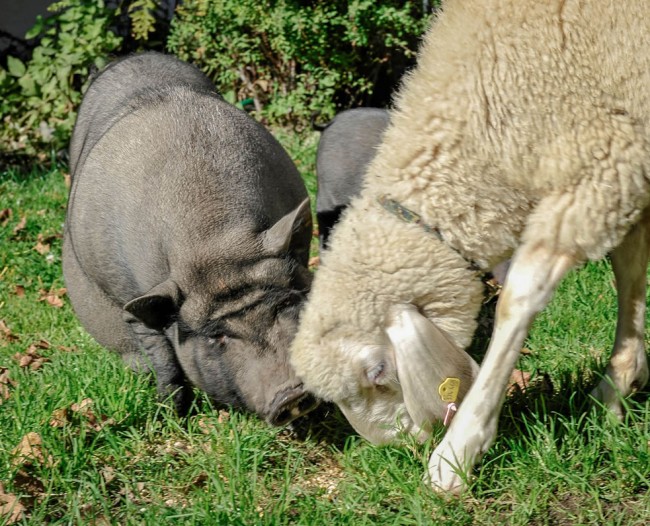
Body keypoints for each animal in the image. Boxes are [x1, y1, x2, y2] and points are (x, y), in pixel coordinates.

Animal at [64, 51, 318, 426]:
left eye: (285, 305)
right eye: (218, 336)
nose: (292, 394)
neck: (214, 241)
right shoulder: (133, 301)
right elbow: (163, 356)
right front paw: (171, 414)